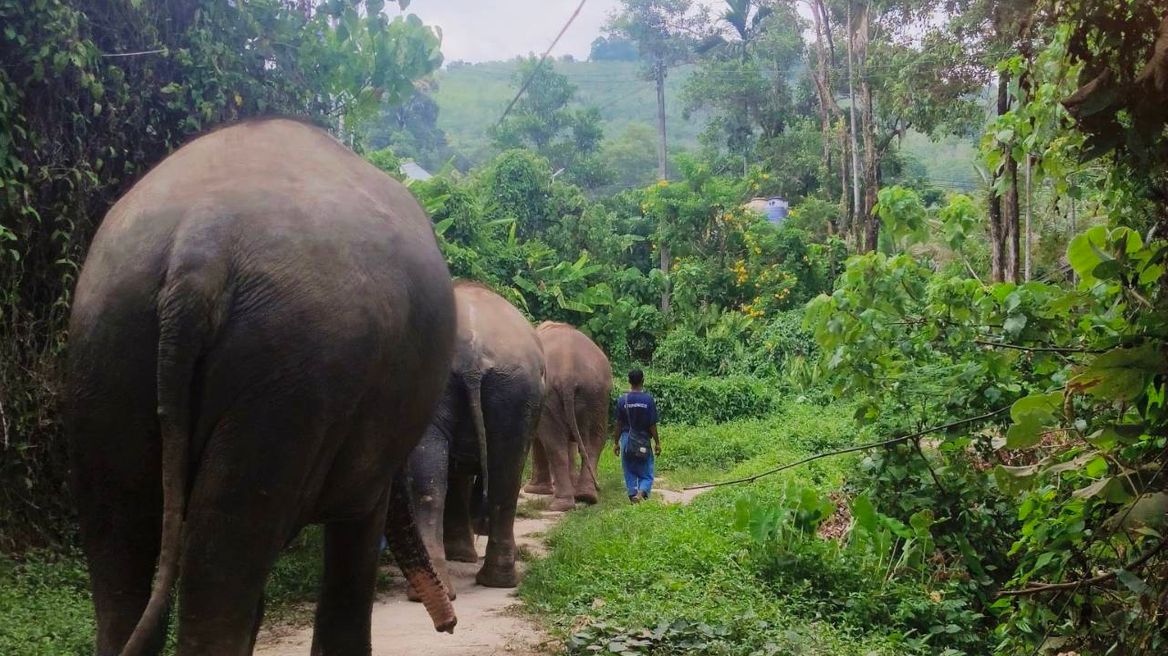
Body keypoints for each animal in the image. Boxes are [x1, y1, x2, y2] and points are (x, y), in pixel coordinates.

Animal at [65, 118, 458, 656]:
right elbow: (359, 526)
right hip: (291, 369)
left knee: (122, 537)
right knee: (224, 550)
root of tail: (201, 244)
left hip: (109, 342)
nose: (449, 625)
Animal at [404, 281, 545, 599]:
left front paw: (461, 555)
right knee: (502, 475)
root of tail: (472, 358)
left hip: (510, 390)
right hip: (513, 391)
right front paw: (463, 555)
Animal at [524, 322, 613, 511]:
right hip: (596, 394)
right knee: (593, 442)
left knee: (555, 445)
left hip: (555, 396)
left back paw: (560, 504)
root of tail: (567, 373)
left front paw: (533, 490)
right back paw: (586, 497)